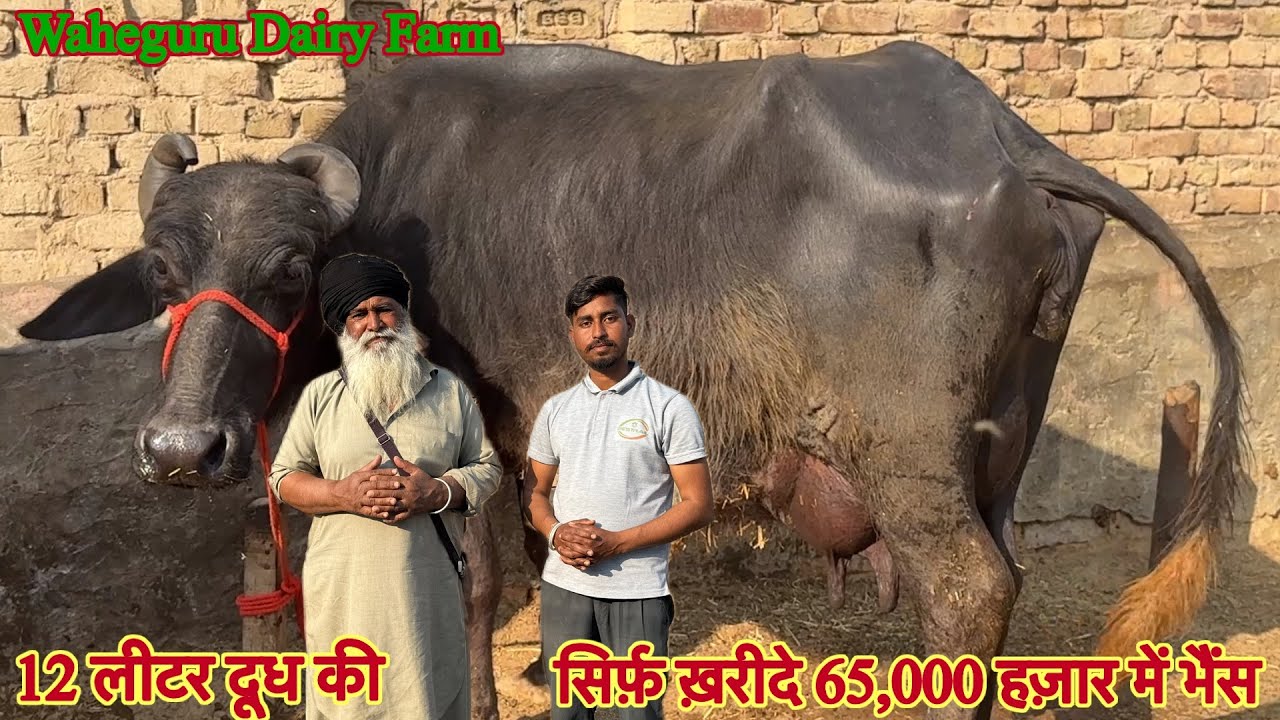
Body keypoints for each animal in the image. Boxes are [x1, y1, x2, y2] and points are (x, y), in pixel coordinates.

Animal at [18, 41, 1249, 720]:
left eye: (285, 272)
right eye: (164, 273)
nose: (184, 449)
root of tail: (1008, 144)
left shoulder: (475, 428)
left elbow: (480, 583)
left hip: (904, 458)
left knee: (970, 589)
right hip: (1000, 444)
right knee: (1001, 579)